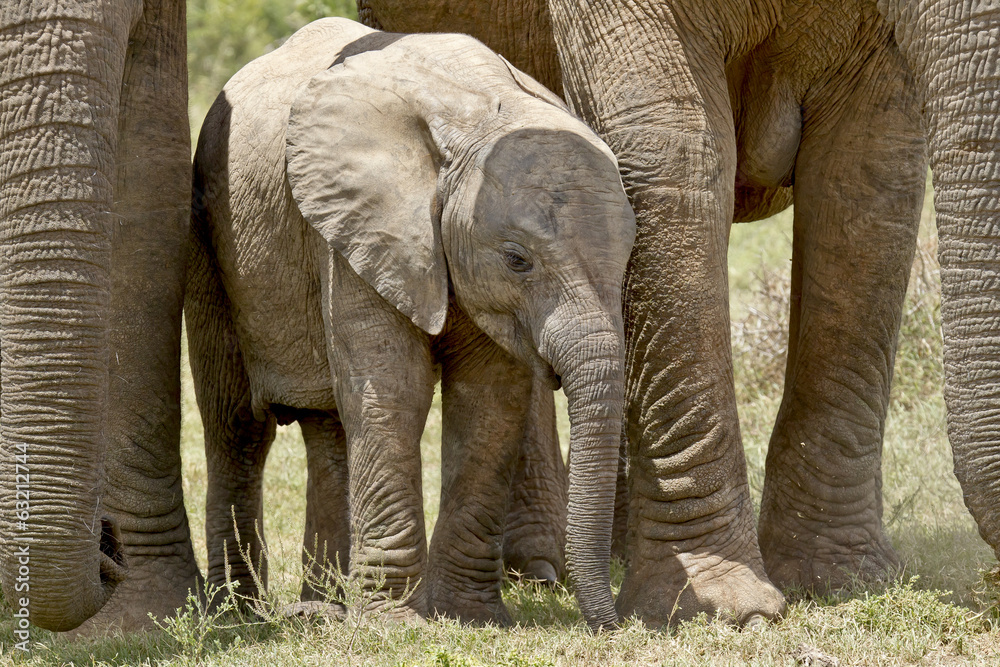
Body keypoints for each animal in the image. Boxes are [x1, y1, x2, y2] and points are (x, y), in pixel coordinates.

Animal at [185, 18, 635, 630]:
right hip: (210, 239)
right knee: (236, 425)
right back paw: (238, 615)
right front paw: (395, 624)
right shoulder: (356, 226)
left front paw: (471, 617)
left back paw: (321, 608)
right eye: (517, 259)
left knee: (328, 426)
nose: (616, 627)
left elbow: (491, 399)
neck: (478, 114)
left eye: (628, 260)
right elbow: (397, 388)